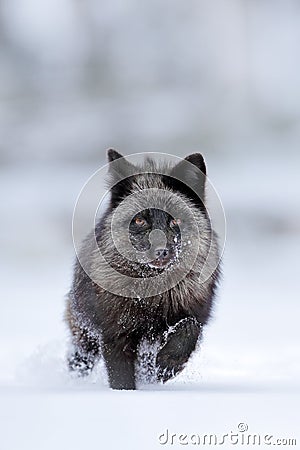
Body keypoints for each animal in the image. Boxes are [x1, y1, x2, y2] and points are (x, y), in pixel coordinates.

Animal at [65, 149, 220, 388]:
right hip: (84, 337)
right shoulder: (114, 334)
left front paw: (168, 363)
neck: (151, 296)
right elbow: (121, 378)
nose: (161, 251)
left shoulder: (196, 313)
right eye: (139, 220)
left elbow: (189, 327)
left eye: (175, 220)